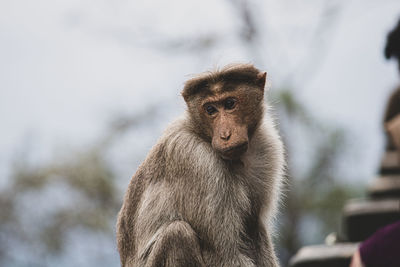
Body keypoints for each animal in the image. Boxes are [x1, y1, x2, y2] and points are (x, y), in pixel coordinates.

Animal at [115, 63, 284, 266]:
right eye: (210, 109)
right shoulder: (197, 161)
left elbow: (253, 230)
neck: (201, 132)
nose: (225, 135)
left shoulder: (266, 146)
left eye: (230, 104)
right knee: (177, 234)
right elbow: (224, 253)